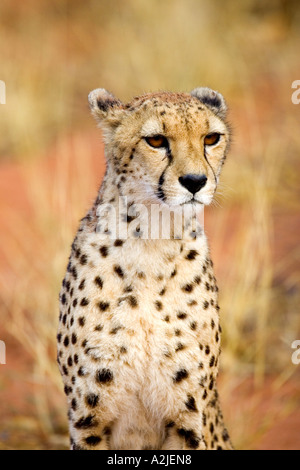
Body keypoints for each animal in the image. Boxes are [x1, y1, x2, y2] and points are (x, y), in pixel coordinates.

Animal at [57, 86, 233, 450]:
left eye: (211, 138)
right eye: (155, 141)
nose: (195, 181)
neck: (153, 235)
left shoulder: (187, 422)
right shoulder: (88, 420)